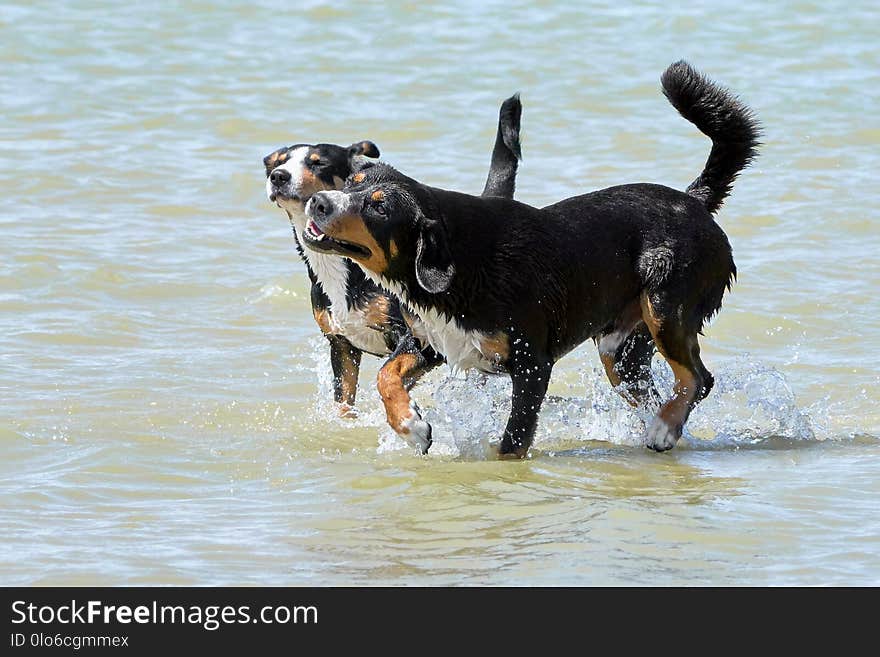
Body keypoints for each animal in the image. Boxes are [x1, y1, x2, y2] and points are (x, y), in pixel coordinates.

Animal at [262, 95, 524, 440]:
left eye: (318, 163)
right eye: (278, 161)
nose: (278, 176)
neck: (345, 268)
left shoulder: (419, 339)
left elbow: (387, 374)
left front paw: (409, 421)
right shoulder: (341, 345)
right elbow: (344, 400)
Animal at [300, 64, 756, 458]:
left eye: (378, 207)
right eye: (352, 182)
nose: (318, 202)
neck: (464, 263)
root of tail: (693, 200)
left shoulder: (532, 363)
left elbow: (513, 439)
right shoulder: (433, 342)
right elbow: (386, 375)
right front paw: (411, 426)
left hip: (666, 309)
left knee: (699, 377)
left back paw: (664, 428)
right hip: (622, 353)